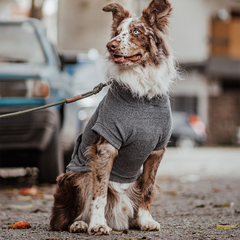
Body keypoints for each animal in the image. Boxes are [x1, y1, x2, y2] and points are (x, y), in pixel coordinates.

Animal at [49, 0, 177, 236]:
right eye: (117, 32)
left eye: (136, 32)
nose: (111, 45)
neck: (140, 92)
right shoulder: (106, 145)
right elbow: (99, 191)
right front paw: (98, 224)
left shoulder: (157, 150)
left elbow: (147, 189)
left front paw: (146, 220)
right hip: (74, 177)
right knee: (62, 218)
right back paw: (80, 223)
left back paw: (132, 221)